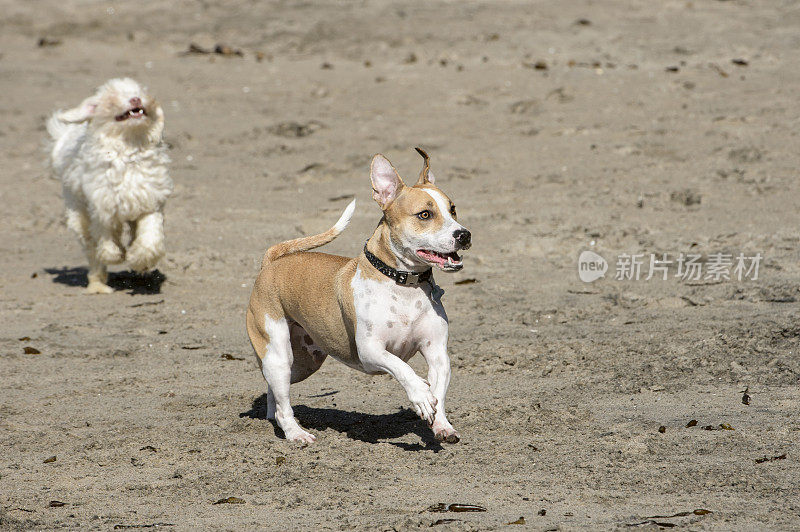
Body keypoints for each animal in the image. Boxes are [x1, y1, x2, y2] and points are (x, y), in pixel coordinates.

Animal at [47, 78, 172, 294]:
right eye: (113, 96)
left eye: (140, 91)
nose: (136, 99)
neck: (130, 146)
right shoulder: (102, 206)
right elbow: (104, 236)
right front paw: (114, 254)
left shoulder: (149, 201)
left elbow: (150, 235)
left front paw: (141, 259)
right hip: (78, 213)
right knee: (91, 248)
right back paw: (98, 285)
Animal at [244, 148, 468, 442]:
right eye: (424, 214)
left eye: (452, 209)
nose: (464, 234)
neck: (403, 285)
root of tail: (272, 263)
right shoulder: (371, 350)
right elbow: (402, 367)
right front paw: (420, 394)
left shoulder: (438, 353)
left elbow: (439, 392)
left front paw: (442, 424)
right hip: (278, 355)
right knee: (283, 402)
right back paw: (295, 433)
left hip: (303, 363)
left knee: (274, 390)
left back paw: (273, 416)